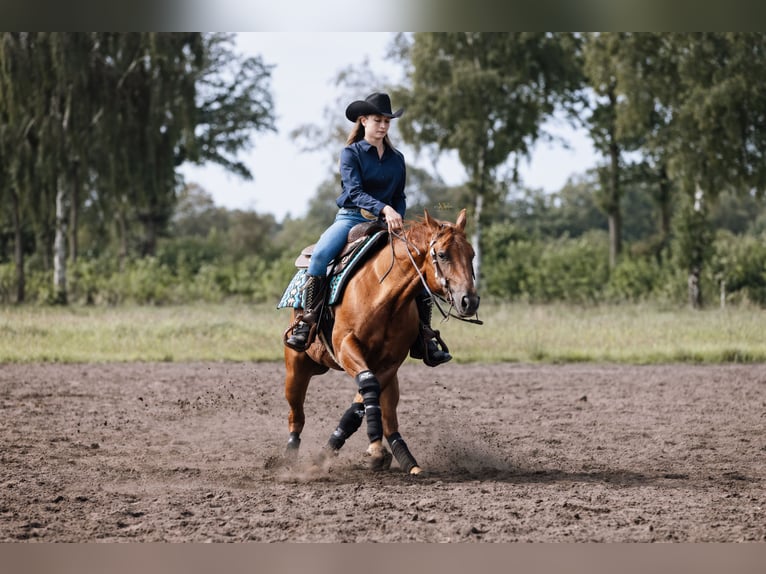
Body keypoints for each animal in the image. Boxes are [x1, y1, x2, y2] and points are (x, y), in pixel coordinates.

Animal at [284, 210, 480, 476]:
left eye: (472, 254)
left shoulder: (390, 363)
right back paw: (288, 458)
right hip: (296, 368)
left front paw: (367, 450)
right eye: (442, 254)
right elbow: (367, 387)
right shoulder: (346, 346)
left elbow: (362, 403)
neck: (384, 295)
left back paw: (406, 459)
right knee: (296, 415)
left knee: (388, 418)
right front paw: (331, 454)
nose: (469, 301)